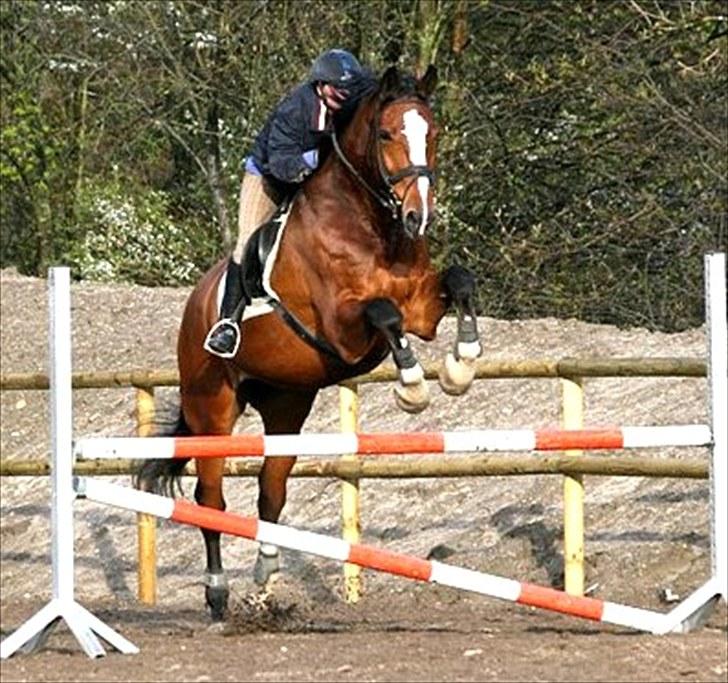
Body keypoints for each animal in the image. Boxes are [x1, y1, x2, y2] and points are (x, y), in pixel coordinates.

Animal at [139, 65, 486, 624]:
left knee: (271, 493)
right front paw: (412, 386)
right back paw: (217, 593)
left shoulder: (422, 309)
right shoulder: (342, 331)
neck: (370, 225)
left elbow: (459, 281)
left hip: (286, 405)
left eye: (432, 133)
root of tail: (194, 306)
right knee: (211, 497)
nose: (419, 217)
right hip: (212, 405)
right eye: (385, 134)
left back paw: (264, 580)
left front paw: (461, 365)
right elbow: (383, 313)